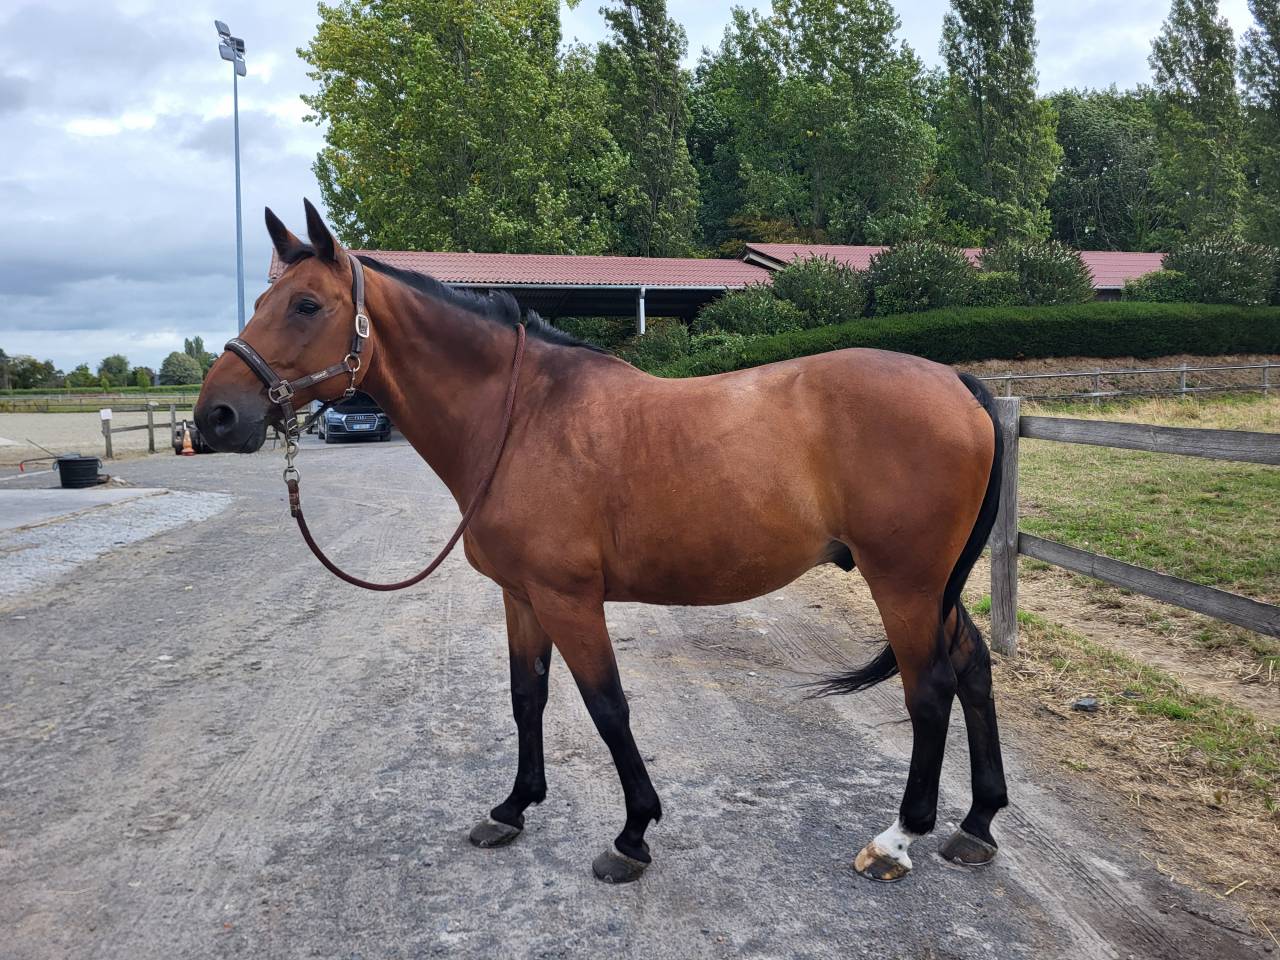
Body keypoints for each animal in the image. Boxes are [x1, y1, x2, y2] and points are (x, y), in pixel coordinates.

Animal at [195, 200, 1008, 885]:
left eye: (306, 305)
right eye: (261, 302)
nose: (215, 419)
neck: (521, 417)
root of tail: (960, 385)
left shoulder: (570, 599)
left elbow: (607, 705)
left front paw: (633, 836)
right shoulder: (522, 596)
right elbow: (527, 697)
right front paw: (511, 809)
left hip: (902, 582)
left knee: (930, 690)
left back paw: (898, 840)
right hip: (930, 587)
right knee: (972, 667)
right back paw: (976, 825)